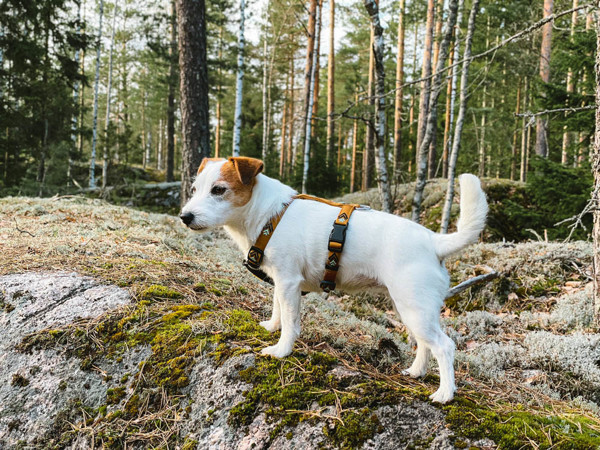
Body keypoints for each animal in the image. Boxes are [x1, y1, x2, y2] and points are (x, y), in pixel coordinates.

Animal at [182, 156, 488, 402]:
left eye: (219, 190)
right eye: (194, 189)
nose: (185, 216)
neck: (270, 214)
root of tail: (434, 241)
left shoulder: (289, 282)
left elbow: (290, 323)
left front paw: (281, 350)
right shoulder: (281, 282)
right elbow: (278, 308)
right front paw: (271, 326)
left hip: (414, 309)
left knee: (444, 347)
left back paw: (445, 393)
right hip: (411, 309)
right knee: (425, 344)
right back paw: (416, 372)